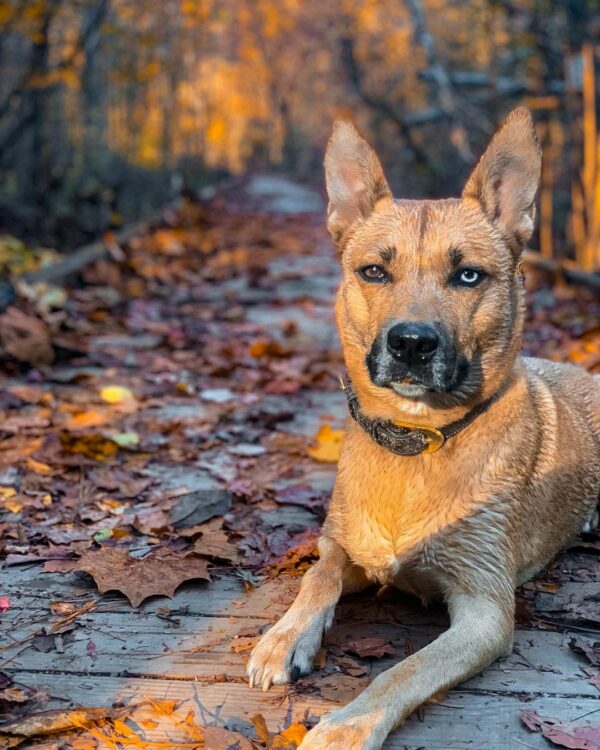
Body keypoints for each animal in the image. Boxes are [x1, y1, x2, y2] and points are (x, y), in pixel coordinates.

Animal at [245, 107, 600, 750]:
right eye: (373, 271)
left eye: (468, 276)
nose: (411, 343)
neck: (416, 444)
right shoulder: (343, 545)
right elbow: (317, 576)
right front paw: (284, 637)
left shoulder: (485, 611)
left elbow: (404, 670)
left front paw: (345, 726)